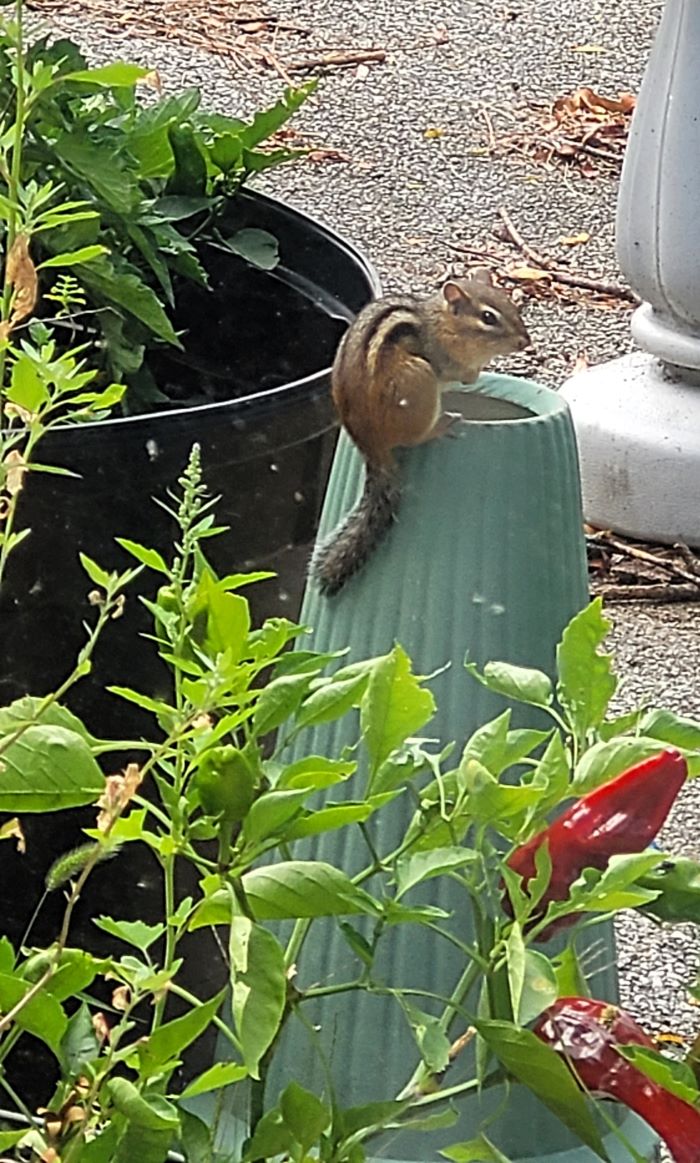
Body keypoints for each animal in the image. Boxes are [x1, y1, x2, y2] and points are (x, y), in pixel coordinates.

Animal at [311, 271, 531, 596]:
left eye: (512, 305)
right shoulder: (443, 360)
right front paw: (476, 373)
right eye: (488, 317)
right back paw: (441, 425)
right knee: (414, 437)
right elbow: (464, 374)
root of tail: (371, 444)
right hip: (420, 379)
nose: (525, 341)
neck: (442, 324)